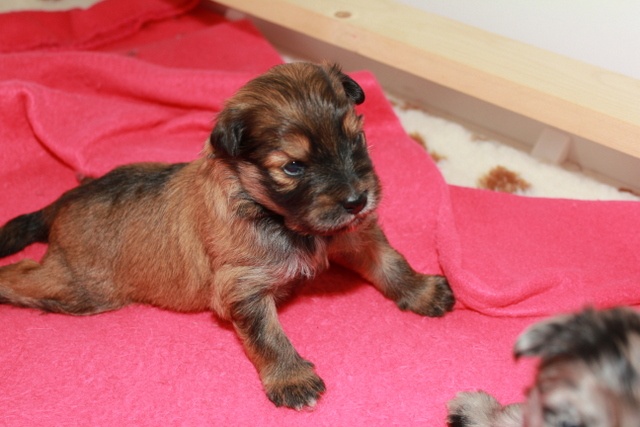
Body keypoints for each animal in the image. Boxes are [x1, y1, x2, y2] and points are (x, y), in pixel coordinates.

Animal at [0, 62, 455, 410]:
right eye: (293, 167)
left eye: (355, 138)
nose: (358, 200)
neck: (276, 216)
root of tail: (62, 203)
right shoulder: (242, 285)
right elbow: (267, 335)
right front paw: (291, 378)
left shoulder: (354, 235)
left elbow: (391, 262)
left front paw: (421, 290)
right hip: (82, 288)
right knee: (22, 274)